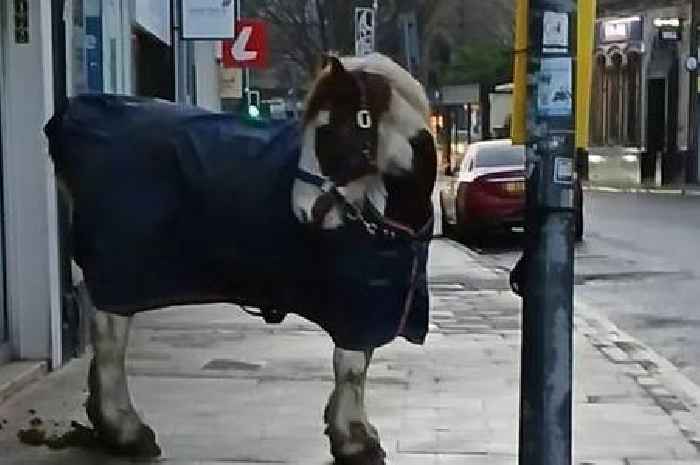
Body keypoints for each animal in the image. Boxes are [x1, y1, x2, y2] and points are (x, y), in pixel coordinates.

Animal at [43, 52, 434, 464]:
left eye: (330, 131)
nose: (303, 211)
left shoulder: (374, 301)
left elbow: (361, 360)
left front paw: (348, 429)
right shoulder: (356, 300)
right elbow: (352, 367)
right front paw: (355, 441)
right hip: (121, 266)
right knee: (110, 340)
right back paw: (126, 430)